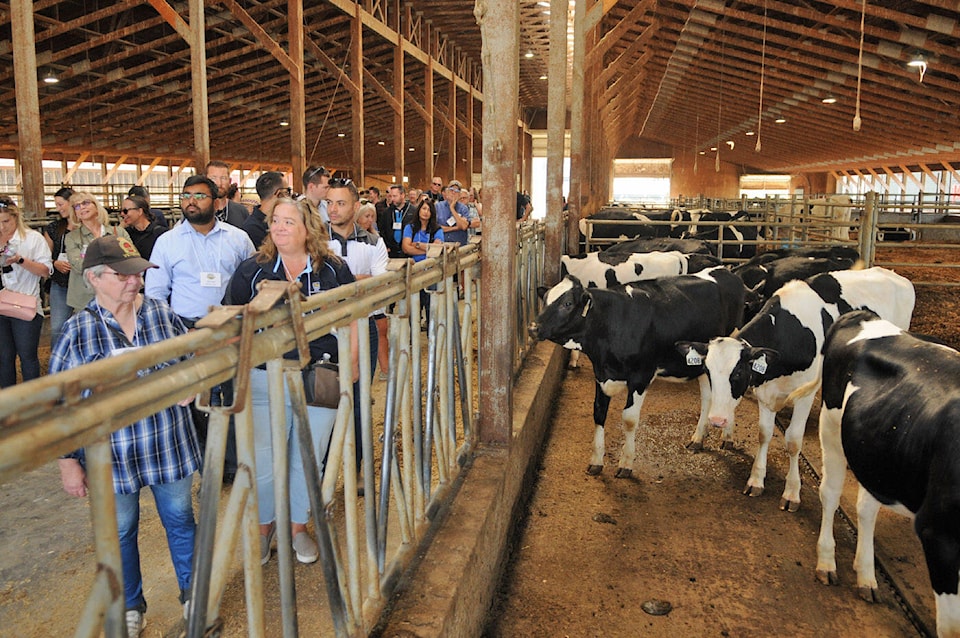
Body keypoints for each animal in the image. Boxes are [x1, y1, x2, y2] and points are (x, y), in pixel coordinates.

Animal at [532, 266, 744, 480]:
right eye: (546, 299)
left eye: (567, 303)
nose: (533, 327)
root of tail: (725, 270)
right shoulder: (601, 374)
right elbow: (599, 412)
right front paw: (596, 461)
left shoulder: (641, 376)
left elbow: (629, 419)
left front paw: (626, 463)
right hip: (704, 366)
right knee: (708, 397)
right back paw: (699, 437)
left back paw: (727, 436)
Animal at [676, 268, 916, 512]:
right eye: (707, 371)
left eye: (738, 373)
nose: (717, 420)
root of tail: (890, 273)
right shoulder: (765, 391)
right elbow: (764, 433)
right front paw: (756, 479)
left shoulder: (805, 394)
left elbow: (793, 441)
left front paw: (792, 492)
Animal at [812, 312, 960, 638]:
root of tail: (862, 315)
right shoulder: (940, 537)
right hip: (831, 424)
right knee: (830, 494)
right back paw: (826, 562)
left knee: (866, 509)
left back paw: (866, 576)